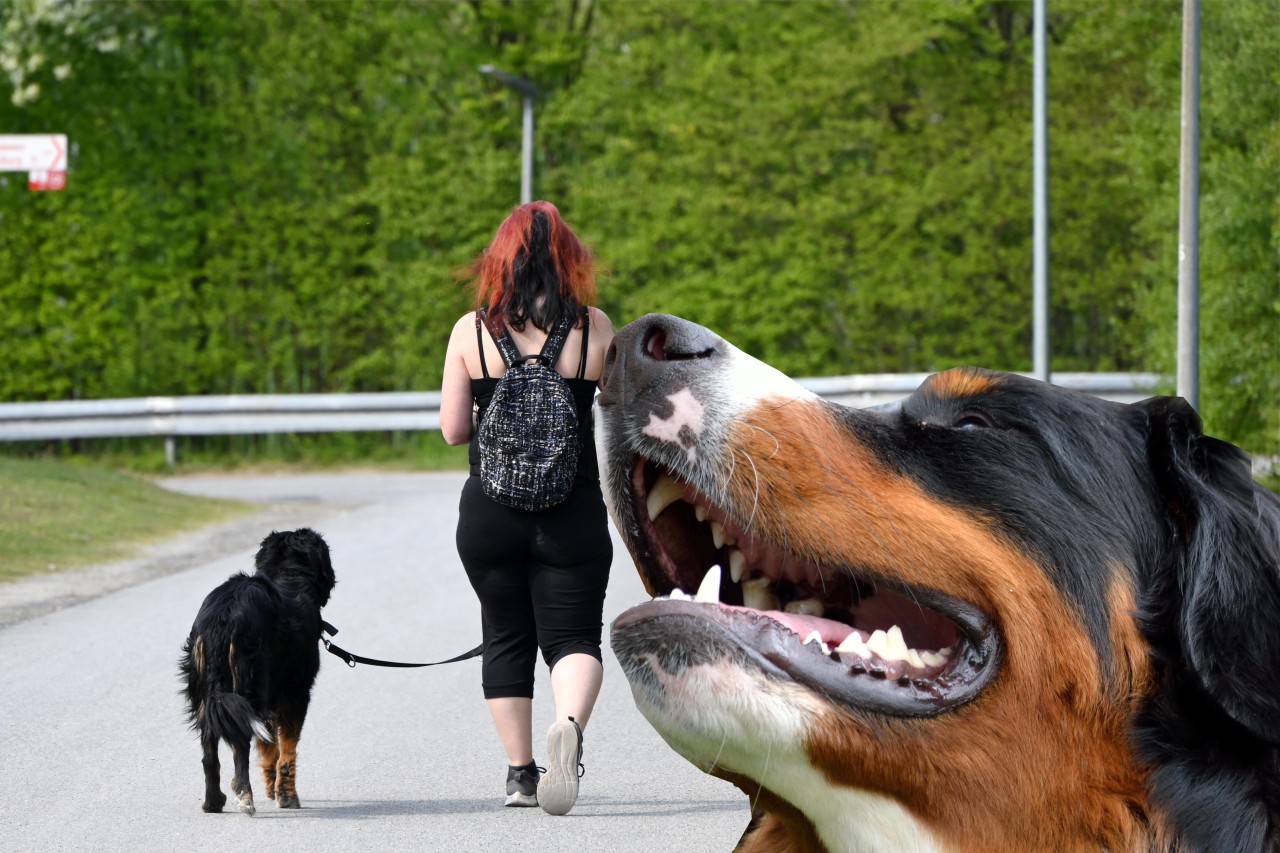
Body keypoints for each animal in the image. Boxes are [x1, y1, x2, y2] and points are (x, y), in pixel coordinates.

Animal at [183, 527, 340, 814]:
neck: (289, 577)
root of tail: (225, 612)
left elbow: (270, 749)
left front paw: (272, 786)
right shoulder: (296, 695)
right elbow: (287, 750)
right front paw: (286, 796)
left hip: (207, 697)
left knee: (209, 754)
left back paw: (213, 801)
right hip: (248, 687)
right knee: (240, 747)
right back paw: (244, 795)